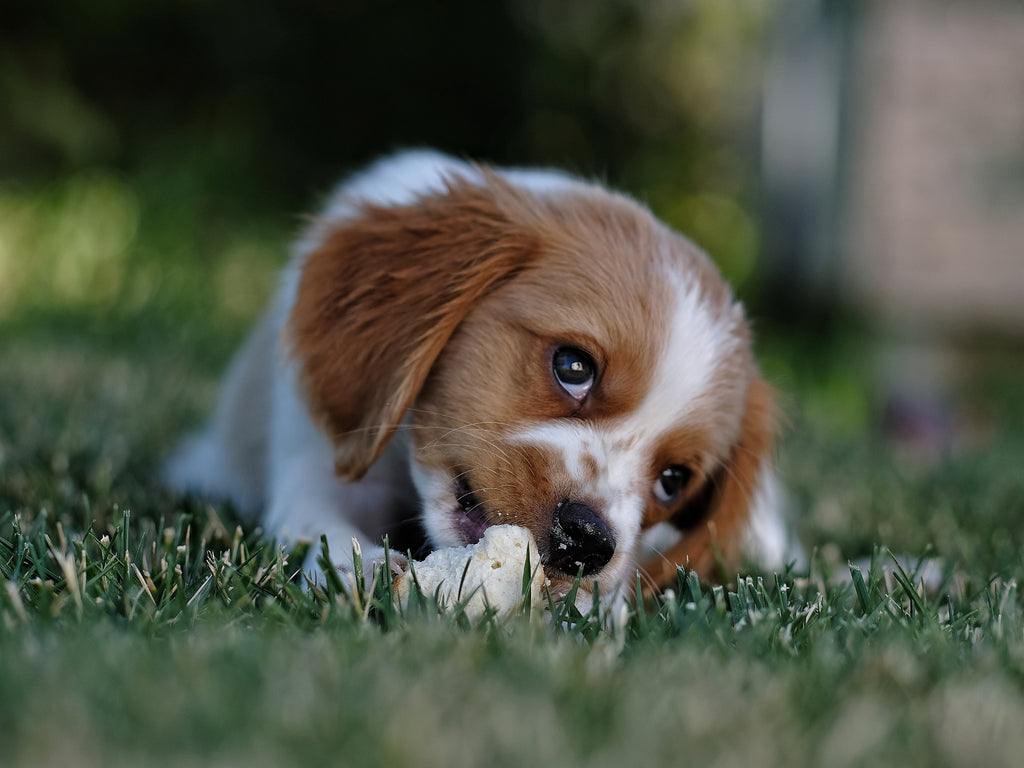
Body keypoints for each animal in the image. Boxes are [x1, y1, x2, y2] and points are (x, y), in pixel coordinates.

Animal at [163, 150, 794, 606]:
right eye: (573, 366)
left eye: (672, 481)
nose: (589, 542)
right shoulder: (317, 461)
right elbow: (320, 522)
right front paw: (365, 567)